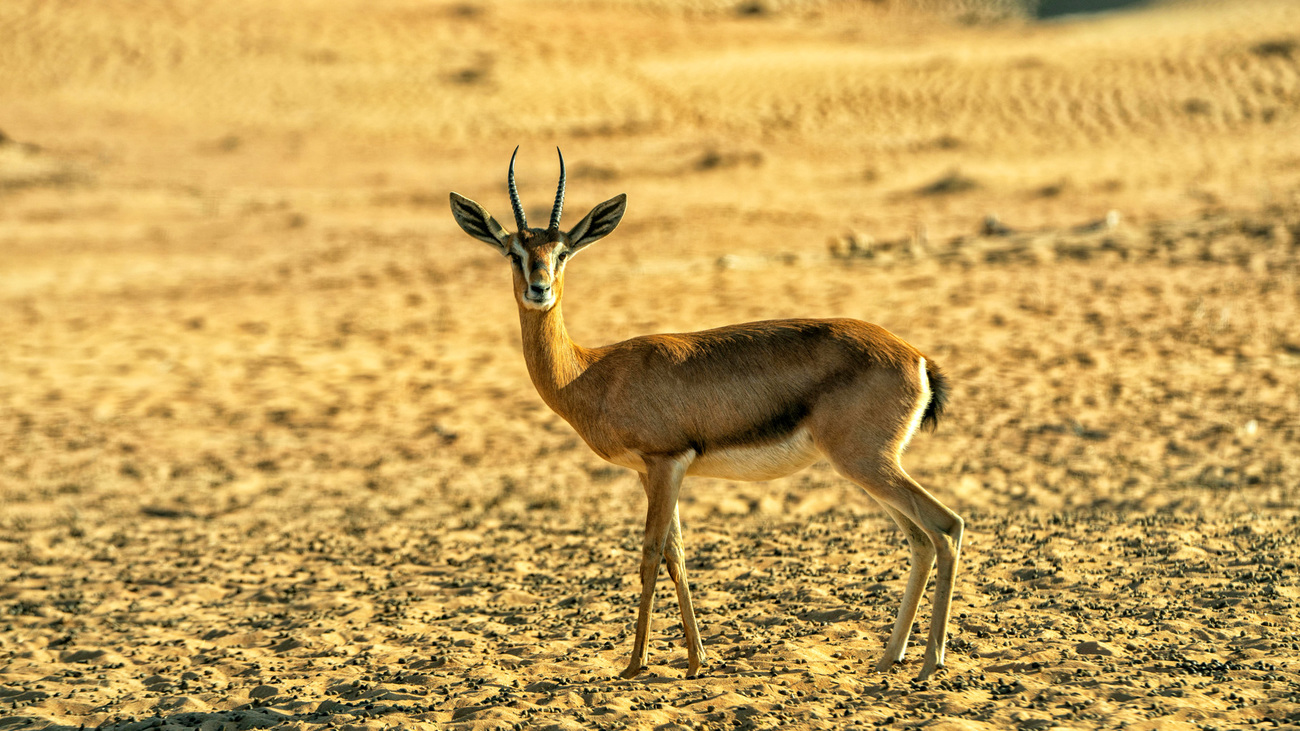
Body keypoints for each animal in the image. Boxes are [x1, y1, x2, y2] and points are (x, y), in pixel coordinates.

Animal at [449, 148, 962, 681]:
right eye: (513, 251)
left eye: (563, 251)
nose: (539, 288)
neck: (590, 372)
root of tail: (917, 357)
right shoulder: (652, 472)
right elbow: (676, 554)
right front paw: (697, 660)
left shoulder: (665, 463)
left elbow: (651, 553)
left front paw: (635, 664)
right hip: (867, 467)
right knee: (921, 539)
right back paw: (890, 657)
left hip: (866, 462)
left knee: (946, 528)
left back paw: (931, 663)